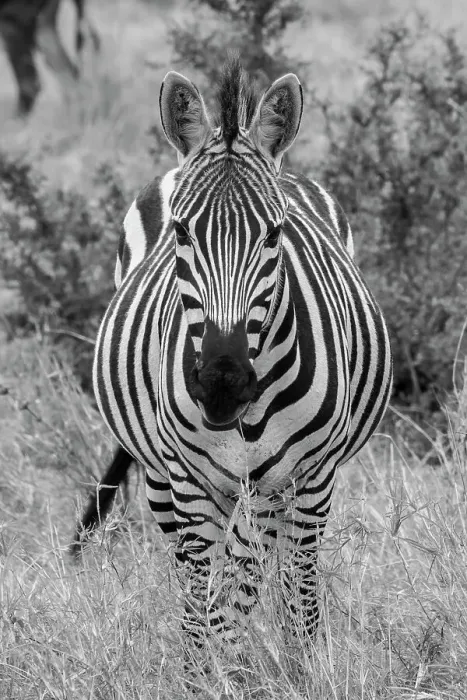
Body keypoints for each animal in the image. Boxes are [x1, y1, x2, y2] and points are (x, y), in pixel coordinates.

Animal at [79, 57, 392, 644]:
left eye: (275, 234)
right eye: (181, 232)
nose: (222, 383)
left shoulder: (307, 478)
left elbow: (288, 597)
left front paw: (291, 661)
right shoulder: (189, 481)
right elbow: (203, 605)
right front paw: (211, 663)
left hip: (276, 493)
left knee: (273, 572)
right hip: (164, 480)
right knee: (200, 571)